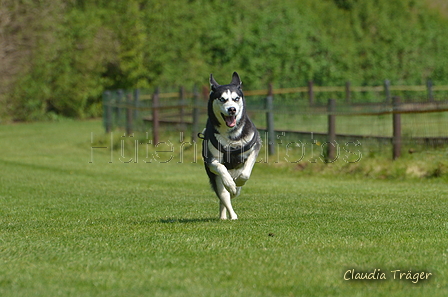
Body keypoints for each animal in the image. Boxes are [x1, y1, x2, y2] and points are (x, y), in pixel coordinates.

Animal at [201, 72, 260, 220]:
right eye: (222, 99)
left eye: (236, 98)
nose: (232, 109)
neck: (231, 135)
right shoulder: (211, 160)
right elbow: (221, 167)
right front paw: (230, 184)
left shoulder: (254, 148)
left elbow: (245, 173)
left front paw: (238, 182)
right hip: (215, 179)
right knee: (224, 196)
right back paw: (230, 215)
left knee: (232, 193)